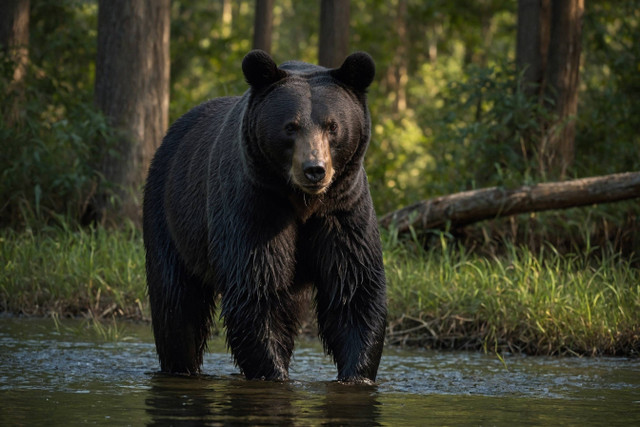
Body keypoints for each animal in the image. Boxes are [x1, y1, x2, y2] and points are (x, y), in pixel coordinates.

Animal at [144, 50, 384, 384]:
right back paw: (181, 365)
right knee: (177, 303)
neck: (303, 202)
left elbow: (353, 289)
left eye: (333, 126)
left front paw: (356, 375)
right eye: (290, 126)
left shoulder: (343, 210)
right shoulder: (256, 206)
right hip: (170, 217)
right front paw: (274, 373)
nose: (315, 169)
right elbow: (257, 286)